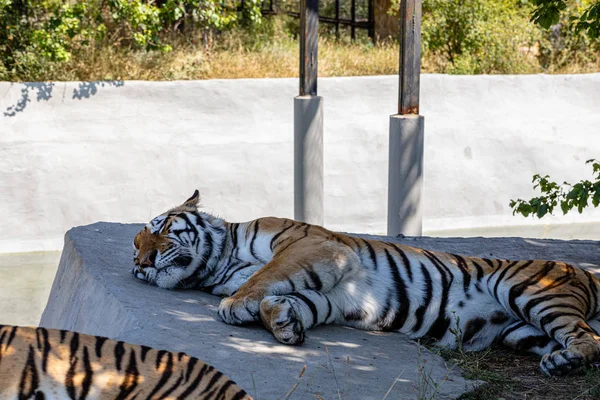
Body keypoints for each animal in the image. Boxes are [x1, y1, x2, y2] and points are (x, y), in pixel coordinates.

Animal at [134, 191, 600, 378]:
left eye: (160, 228)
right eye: (135, 249)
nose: (142, 263)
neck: (222, 263)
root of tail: (585, 271)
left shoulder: (310, 245)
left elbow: (264, 278)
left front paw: (236, 305)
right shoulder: (333, 294)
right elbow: (290, 298)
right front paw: (284, 322)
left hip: (529, 291)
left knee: (588, 337)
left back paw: (567, 361)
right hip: (522, 332)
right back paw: (563, 363)